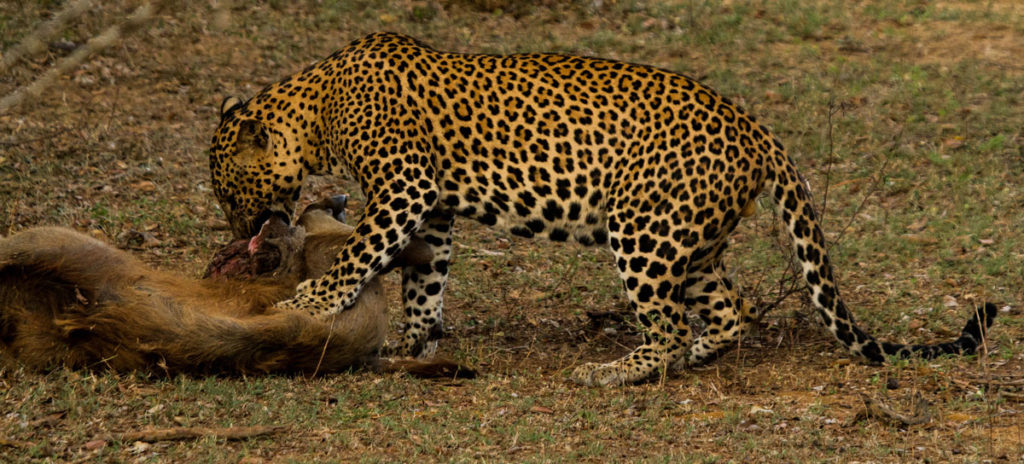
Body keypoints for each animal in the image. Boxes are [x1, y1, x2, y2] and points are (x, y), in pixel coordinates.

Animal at [208, 32, 996, 386]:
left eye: (226, 192)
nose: (237, 235)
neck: (316, 107)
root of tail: (754, 126)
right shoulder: (430, 211)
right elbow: (423, 280)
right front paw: (414, 342)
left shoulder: (404, 187)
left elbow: (357, 255)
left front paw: (306, 302)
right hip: (688, 240)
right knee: (725, 311)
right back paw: (692, 357)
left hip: (643, 230)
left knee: (668, 324)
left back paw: (616, 372)